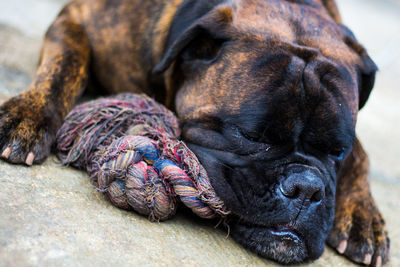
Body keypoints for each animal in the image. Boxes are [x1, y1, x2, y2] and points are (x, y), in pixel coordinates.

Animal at [0, 0, 390, 266]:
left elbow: (364, 154)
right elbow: (66, 63)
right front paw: (27, 113)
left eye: (337, 152)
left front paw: (364, 217)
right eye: (251, 136)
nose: (305, 188)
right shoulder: (76, 18)